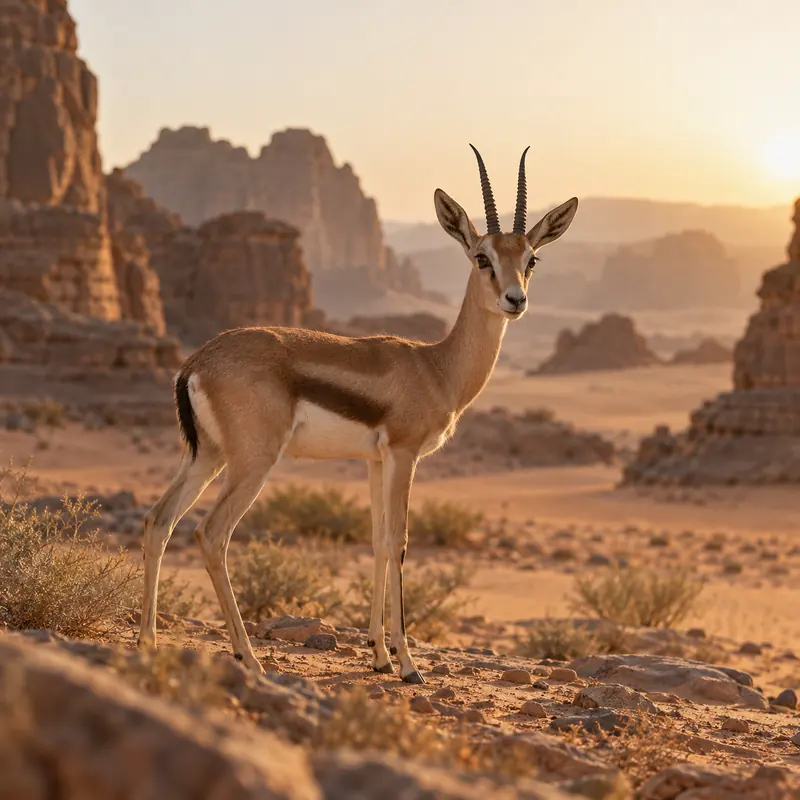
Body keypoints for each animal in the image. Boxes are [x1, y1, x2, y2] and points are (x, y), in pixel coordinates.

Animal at [137, 145, 578, 684]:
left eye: (530, 258)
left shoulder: (374, 460)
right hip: (252, 463)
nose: (515, 300)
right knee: (212, 533)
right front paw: (408, 664)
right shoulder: (405, 455)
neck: (435, 366)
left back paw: (148, 642)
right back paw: (249, 658)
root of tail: (197, 362)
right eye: (482, 257)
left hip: (207, 457)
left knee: (159, 520)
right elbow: (399, 541)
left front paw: (379, 654)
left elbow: (375, 540)